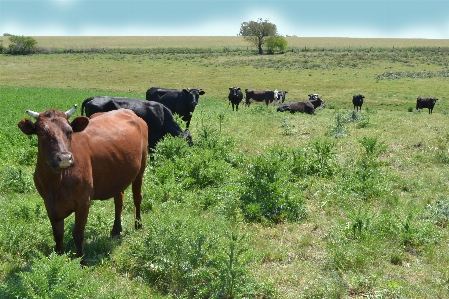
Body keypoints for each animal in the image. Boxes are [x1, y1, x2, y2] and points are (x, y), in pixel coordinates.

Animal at [17, 106, 148, 264]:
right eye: (41, 133)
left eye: (69, 132)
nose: (64, 158)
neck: (55, 184)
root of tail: (128, 111)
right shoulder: (48, 203)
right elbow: (58, 233)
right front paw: (59, 257)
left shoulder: (83, 201)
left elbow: (78, 234)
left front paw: (82, 261)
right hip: (118, 175)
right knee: (119, 200)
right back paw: (116, 230)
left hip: (141, 168)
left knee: (137, 197)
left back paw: (138, 225)